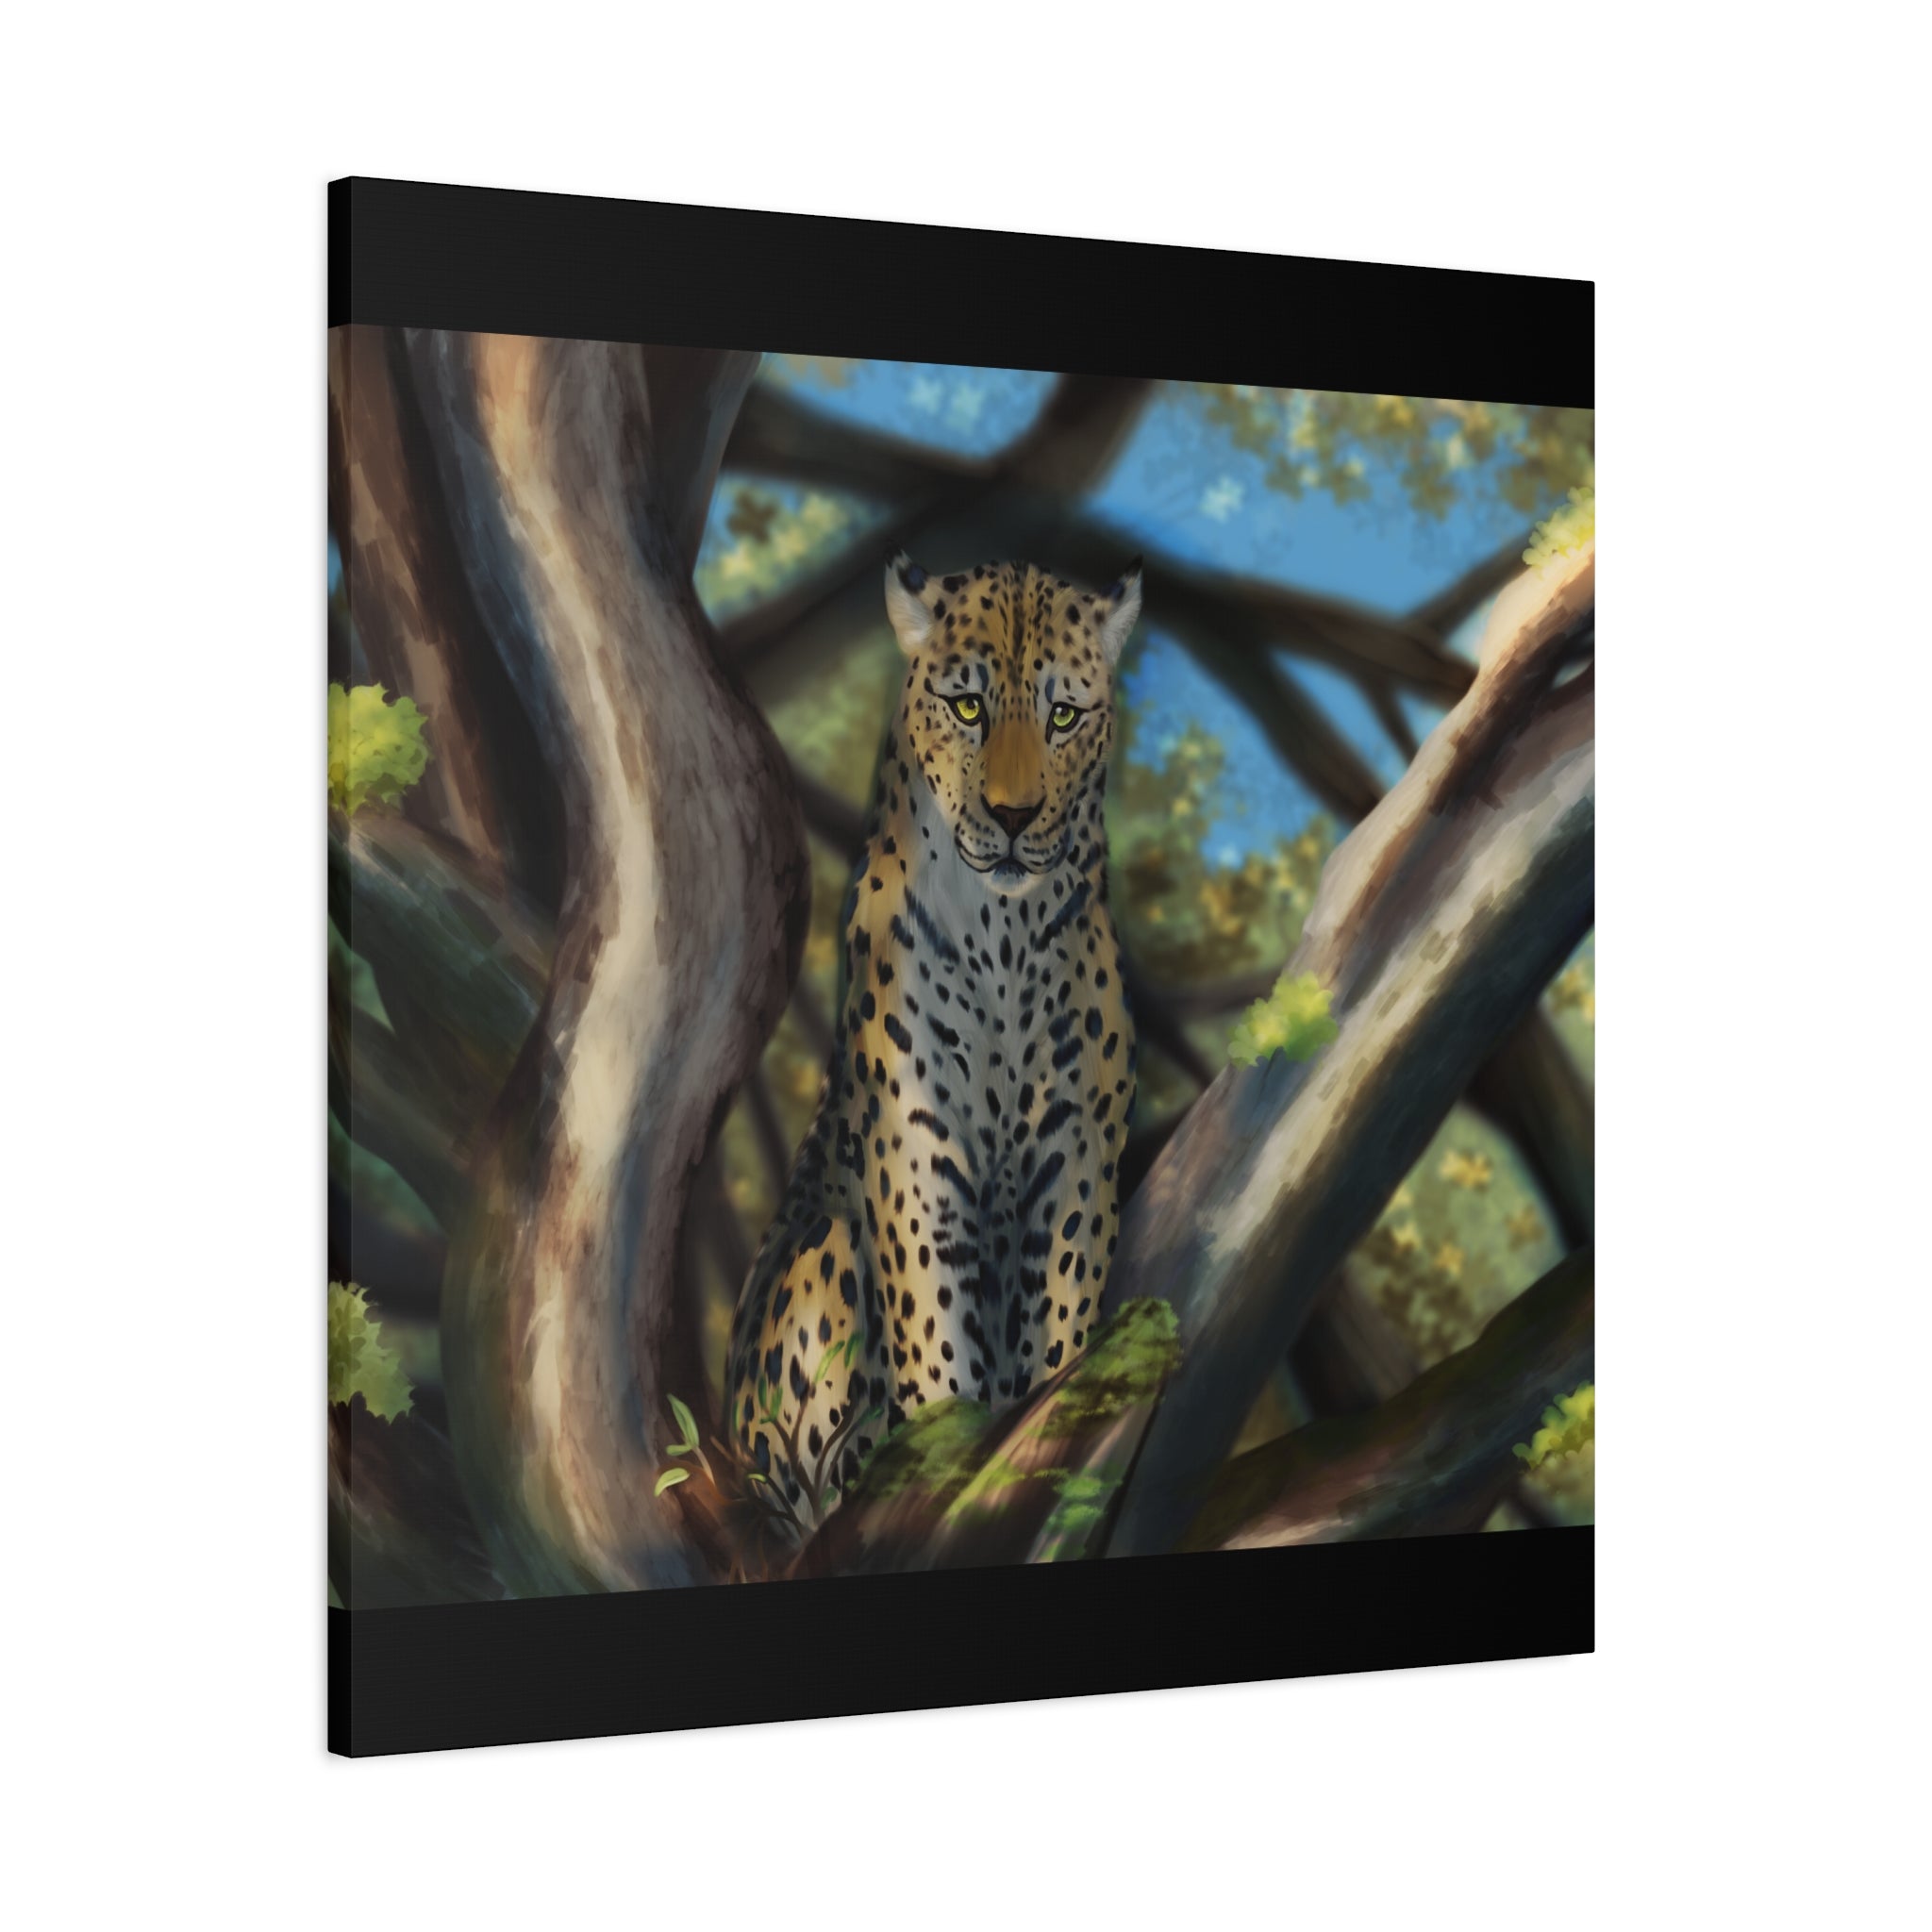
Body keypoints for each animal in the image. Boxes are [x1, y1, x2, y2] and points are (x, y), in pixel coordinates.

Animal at [723, 551, 1144, 1538]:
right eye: (968, 707)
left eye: (1063, 715)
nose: (1015, 815)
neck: (1004, 933)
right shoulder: (914, 1146)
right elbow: (931, 1318)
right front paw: (947, 1444)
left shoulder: (1077, 1148)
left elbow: (1062, 1306)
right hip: (822, 1257)